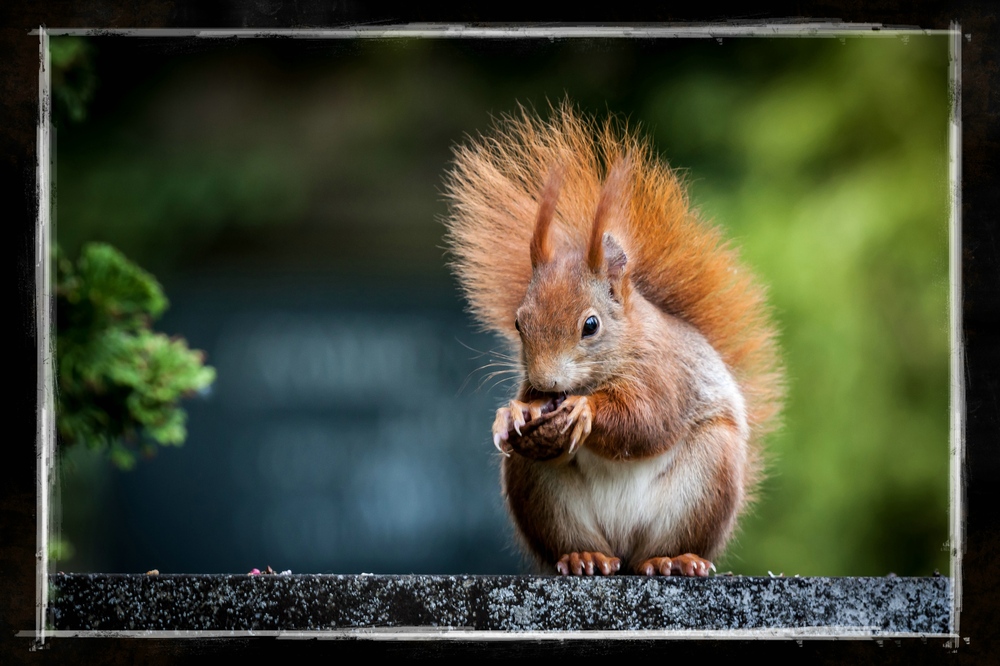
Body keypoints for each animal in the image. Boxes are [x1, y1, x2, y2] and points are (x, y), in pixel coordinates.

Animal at [444, 101, 780, 572]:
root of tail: (623, 547)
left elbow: (647, 420)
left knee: (665, 544)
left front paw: (585, 409)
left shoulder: (665, 374)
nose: (547, 382)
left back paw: (673, 559)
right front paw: (511, 414)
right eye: (519, 323)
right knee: (574, 541)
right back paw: (583, 556)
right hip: (540, 491)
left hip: (706, 477)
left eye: (591, 325)